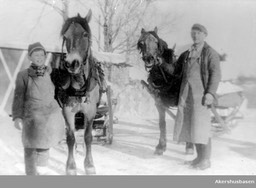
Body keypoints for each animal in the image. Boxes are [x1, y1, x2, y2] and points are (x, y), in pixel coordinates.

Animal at [50, 10, 101, 175]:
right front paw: (71, 167)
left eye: (85, 34)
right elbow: (70, 138)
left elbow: (88, 137)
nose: (72, 63)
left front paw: (89, 165)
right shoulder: (67, 111)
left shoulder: (91, 112)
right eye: (65, 37)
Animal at [137, 27, 193, 155]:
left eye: (156, 42)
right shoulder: (159, 103)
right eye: (141, 43)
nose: (149, 59)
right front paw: (161, 146)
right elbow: (162, 123)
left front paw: (189, 146)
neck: (169, 77)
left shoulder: (185, 102)